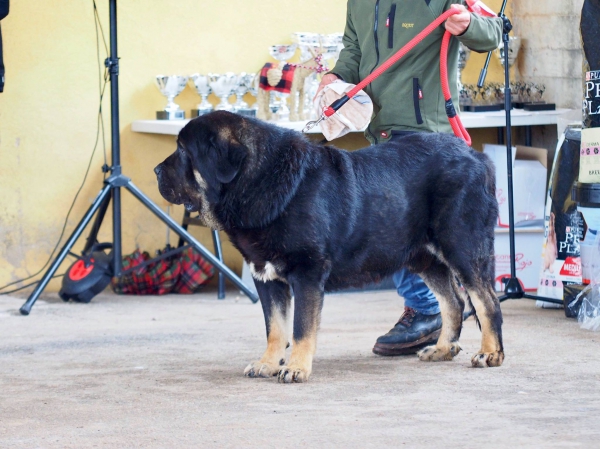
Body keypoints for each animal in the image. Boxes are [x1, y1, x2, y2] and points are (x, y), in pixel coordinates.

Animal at [157, 110, 504, 380]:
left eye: (184, 152)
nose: (156, 170)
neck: (261, 182)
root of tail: (477, 156)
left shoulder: (307, 272)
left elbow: (300, 328)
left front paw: (296, 368)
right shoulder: (266, 277)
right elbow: (275, 328)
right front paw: (268, 364)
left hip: (463, 247)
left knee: (486, 301)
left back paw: (490, 354)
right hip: (425, 258)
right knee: (454, 302)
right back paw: (443, 349)